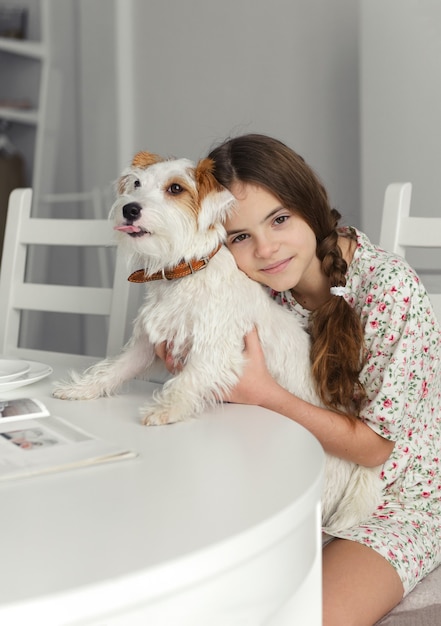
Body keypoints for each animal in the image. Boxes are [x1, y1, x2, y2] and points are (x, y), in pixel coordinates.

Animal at [52, 151, 382, 532]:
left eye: (175, 188)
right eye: (135, 184)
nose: (130, 208)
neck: (184, 274)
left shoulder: (216, 352)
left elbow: (186, 381)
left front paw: (165, 409)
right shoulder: (144, 346)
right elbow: (112, 370)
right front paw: (79, 389)